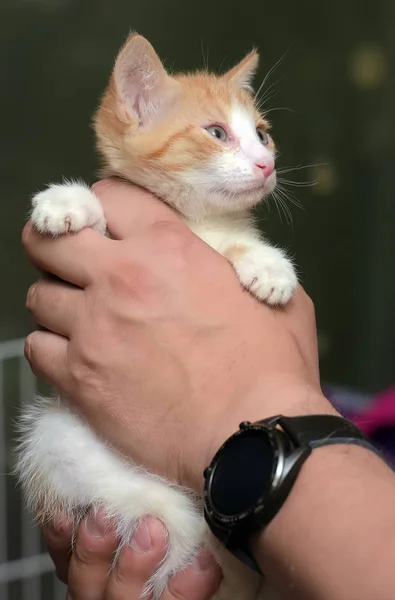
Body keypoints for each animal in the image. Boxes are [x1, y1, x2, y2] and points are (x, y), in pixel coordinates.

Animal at [17, 36, 298, 600]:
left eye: (262, 135)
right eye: (216, 133)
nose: (266, 164)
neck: (193, 219)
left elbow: (236, 243)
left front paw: (268, 265)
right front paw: (69, 200)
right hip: (56, 436)